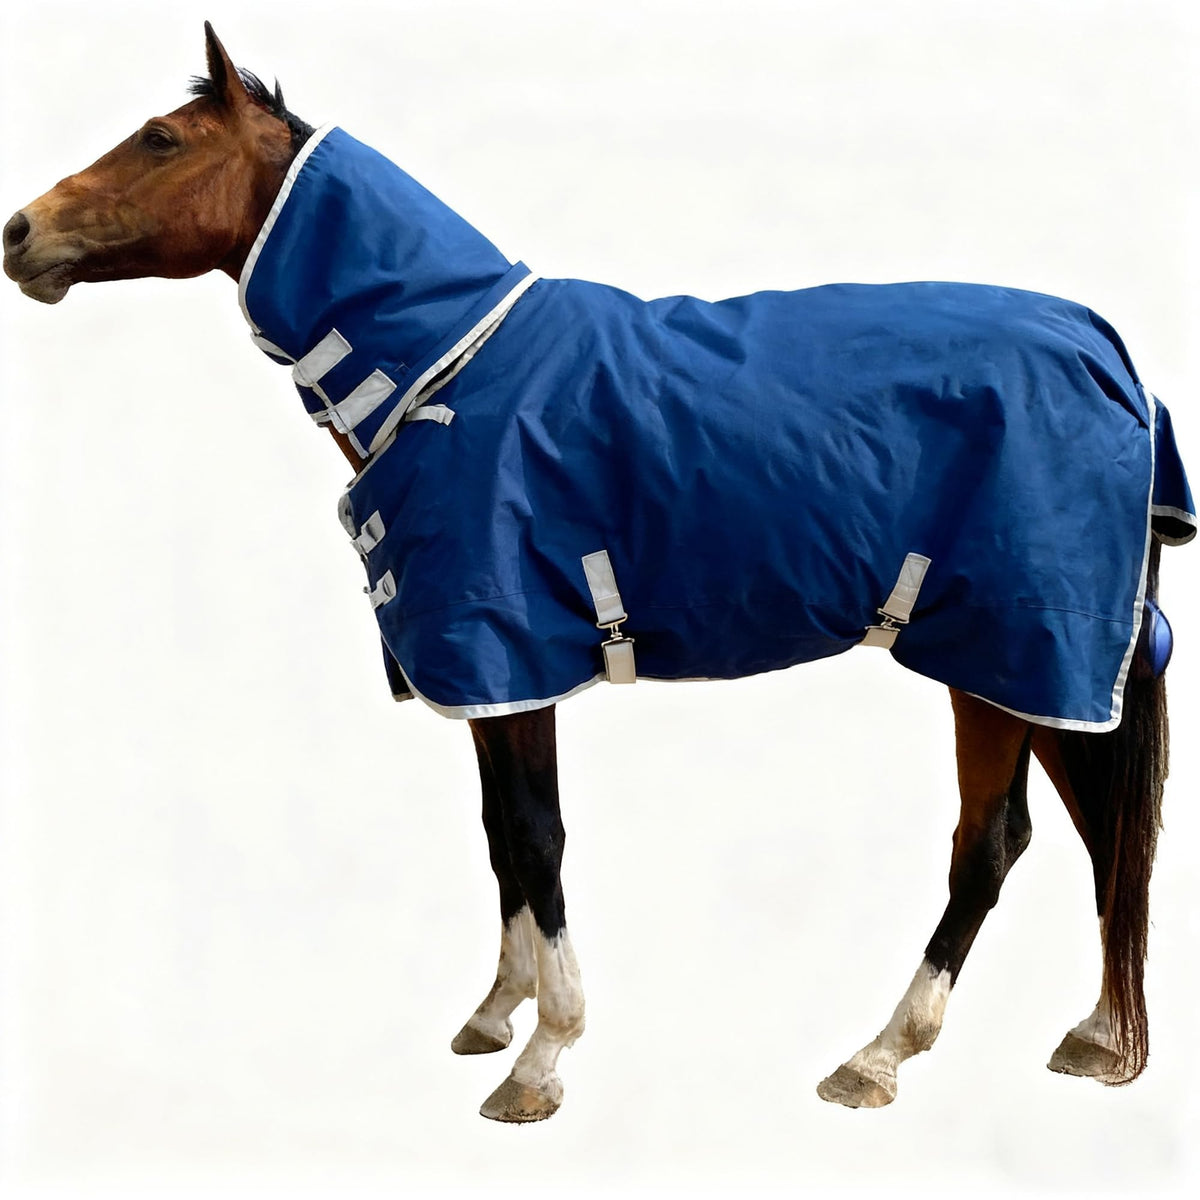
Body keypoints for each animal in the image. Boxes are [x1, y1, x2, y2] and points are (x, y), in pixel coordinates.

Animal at [3, 24, 1193, 1124]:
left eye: (161, 139)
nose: (21, 233)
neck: (452, 367)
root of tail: (1106, 351)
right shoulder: (485, 677)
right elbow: (500, 838)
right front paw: (497, 1011)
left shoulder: (508, 650)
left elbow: (539, 838)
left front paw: (544, 1055)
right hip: (1045, 665)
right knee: (1099, 827)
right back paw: (1097, 1035)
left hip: (1007, 648)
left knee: (991, 844)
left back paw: (879, 1055)